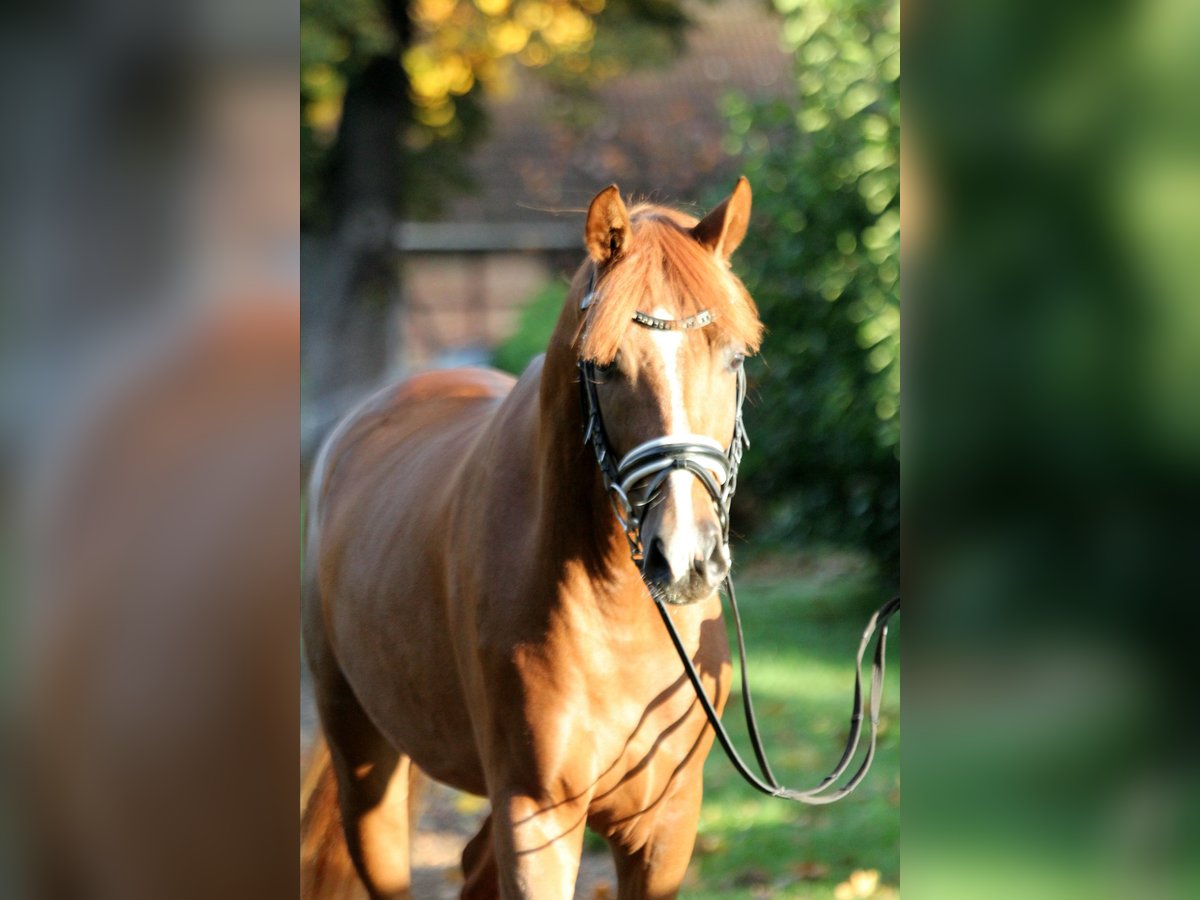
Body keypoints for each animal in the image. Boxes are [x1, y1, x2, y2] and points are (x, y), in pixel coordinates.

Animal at [304, 180, 763, 897]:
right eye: (603, 367)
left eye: (733, 358)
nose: (685, 558)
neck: (619, 618)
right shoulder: (536, 815)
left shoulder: (666, 828)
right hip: (363, 756)